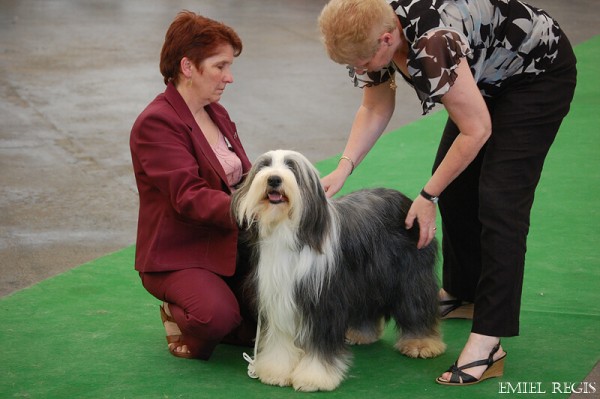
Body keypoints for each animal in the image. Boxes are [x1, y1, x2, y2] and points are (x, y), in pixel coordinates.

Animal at [231, 151, 446, 394]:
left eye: (292, 167)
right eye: (265, 166)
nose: (274, 179)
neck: (290, 233)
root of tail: (405, 200)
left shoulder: (324, 302)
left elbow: (319, 345)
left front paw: (314, 378)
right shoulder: (279, 297)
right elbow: (280, 341)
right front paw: (276, 371)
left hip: (410, 275)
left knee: (416, 304)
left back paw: (421, 343)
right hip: (366, 280)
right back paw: (362, 334)